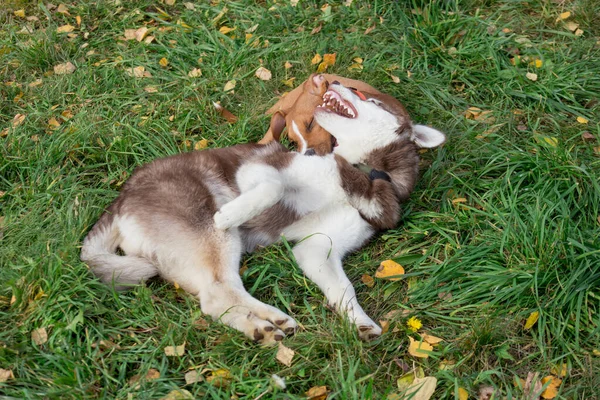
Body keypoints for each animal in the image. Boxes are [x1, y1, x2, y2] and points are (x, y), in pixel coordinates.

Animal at [81, 74, 446, 344]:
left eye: (370, 100)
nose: (331, 81)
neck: (362, 172)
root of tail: (123, 198)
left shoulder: (318, 248)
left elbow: (344, 289)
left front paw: (359, 321)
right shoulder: (258, 170)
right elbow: (273, 188)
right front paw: (231, 212)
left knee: (218, 296)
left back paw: (267, 324)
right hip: (215, 238)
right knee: (217, 294)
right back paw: (262, 322)